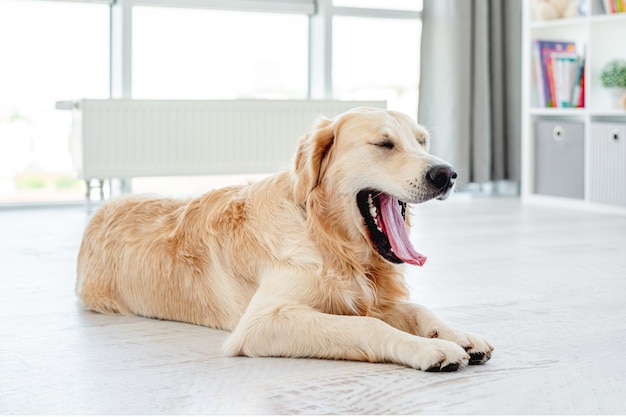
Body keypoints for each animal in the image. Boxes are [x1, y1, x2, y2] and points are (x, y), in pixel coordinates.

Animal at [74, 107, 492, 370]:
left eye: (422, 142)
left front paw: (460, 335)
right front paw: (431, 348)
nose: (447, 174)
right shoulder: (262, 322)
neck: (329, 240)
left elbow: (417, 309)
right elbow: (368, 326)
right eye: (383, 144)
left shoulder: (367, 297)